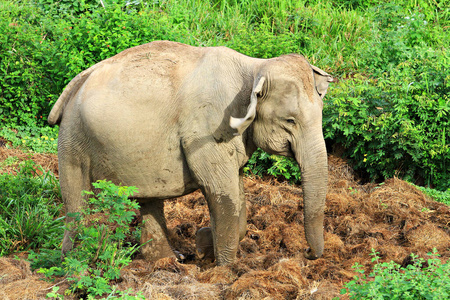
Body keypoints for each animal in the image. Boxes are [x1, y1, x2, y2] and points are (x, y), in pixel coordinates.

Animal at [48, 39, 334, 264]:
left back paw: (167, 260)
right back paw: (76, 261)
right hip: (73, 138)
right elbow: (221, 191)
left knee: (149, 200)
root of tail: (75, 83)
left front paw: (203, 244)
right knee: (76, 201)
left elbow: (236, 189)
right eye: (290, 121)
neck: (254, 67)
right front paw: (222, 268)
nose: (307, 254)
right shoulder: (207, 129)